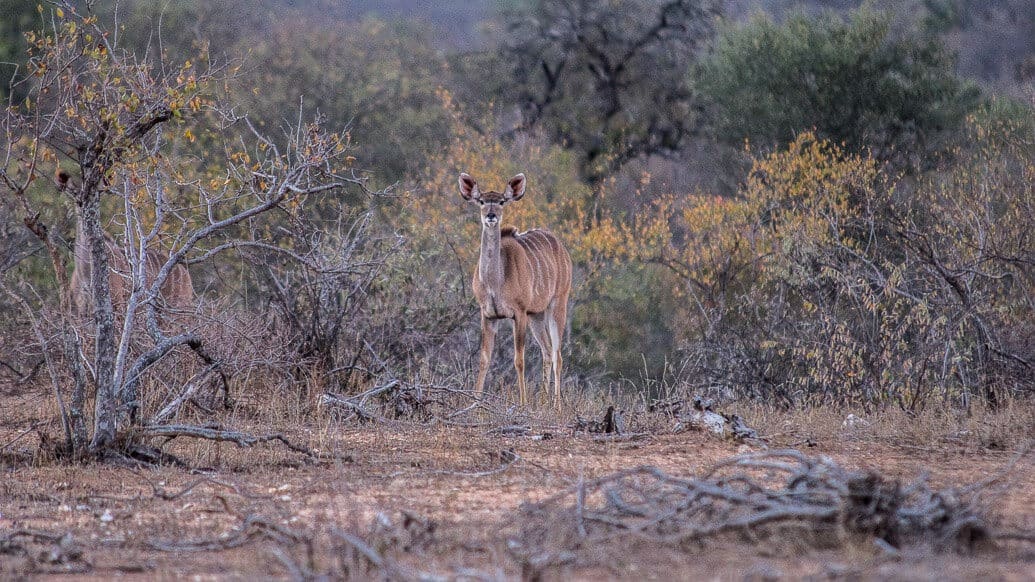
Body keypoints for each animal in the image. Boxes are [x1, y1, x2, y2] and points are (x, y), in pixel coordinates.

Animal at [459, 170, 575, 408]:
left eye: (502, 201)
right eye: (482, 201)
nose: (491, 216)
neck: (495, 283)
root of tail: (563, 249)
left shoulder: (519, 313)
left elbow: (519, 359)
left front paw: (523, 403)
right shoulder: (488, 314)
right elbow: (484, 358)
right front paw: (474, 402)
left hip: (558, 303)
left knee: (557, 354)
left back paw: (557, 406)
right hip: (536, 314)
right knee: (546, 350)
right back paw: (543, 402)